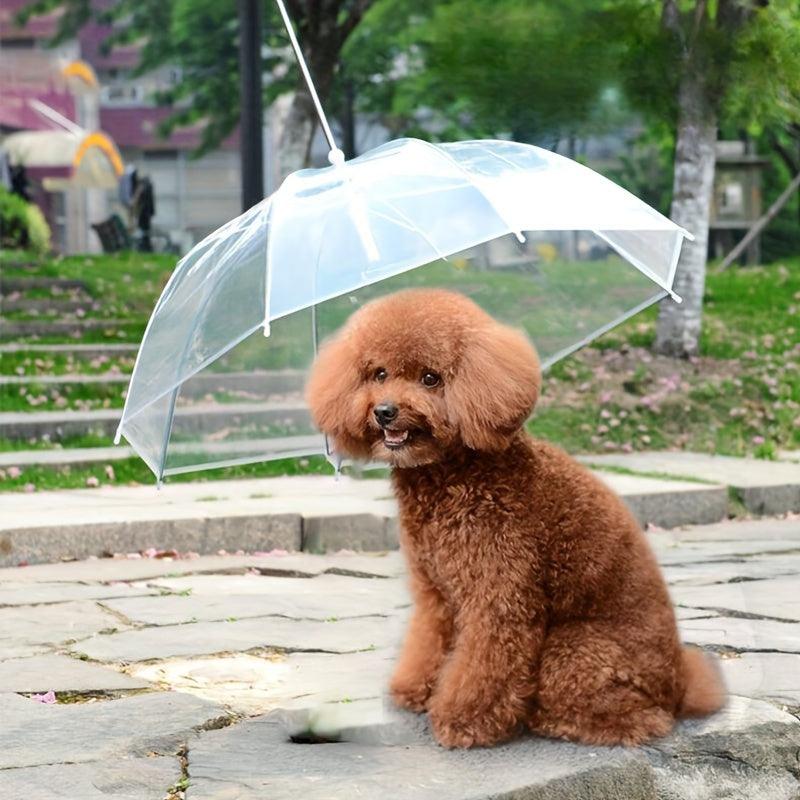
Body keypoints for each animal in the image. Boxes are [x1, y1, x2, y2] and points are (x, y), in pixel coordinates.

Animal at [306, 290, 724, 752]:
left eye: (431, 378)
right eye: (378, 373)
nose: (384, 411)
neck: (455, 476)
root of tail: (680, 684)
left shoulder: (499, 596)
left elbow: (485, 664)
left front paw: (463, 721)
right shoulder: (436, 593)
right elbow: (429, 641)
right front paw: (416, 690)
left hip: (574, 650)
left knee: (640, 718)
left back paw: (551, 719)